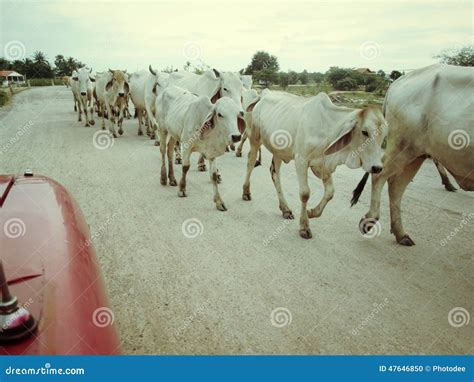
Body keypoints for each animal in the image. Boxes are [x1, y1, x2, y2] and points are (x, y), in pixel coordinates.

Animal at [243, 90, 386, 239]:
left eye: (384, 136)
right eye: (365, 132)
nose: (377, 167)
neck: (328, 129)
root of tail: (264, 94)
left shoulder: (323, 165)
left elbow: (330, 193)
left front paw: (311, 212)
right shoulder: (301, 160)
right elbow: (305, 193)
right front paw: (304, 227)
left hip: (278, 151)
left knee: (274, 173)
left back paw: (285, 209)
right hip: (255, 139)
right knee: (251, 162)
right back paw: (246, 192)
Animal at [350, 64, 472, 246]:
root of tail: (397, 82)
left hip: (416, 153)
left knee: (396, 184)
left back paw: (401, 233)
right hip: (405, 147)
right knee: (381, 177)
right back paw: (371, 221)